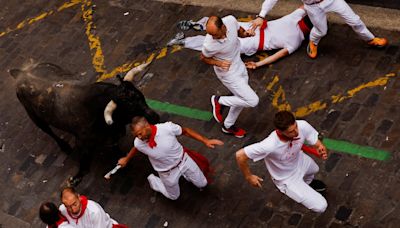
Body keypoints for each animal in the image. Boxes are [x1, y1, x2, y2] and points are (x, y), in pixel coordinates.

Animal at [9, 62, 159, 185]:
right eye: (129, 107)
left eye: (140, 96)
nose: (154, 117)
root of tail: (22, 73)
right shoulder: (82, 142)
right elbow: (85, 166)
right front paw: (75, 179)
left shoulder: (114, 135)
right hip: (34, 116)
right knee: (48, 131)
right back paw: (64, 146)